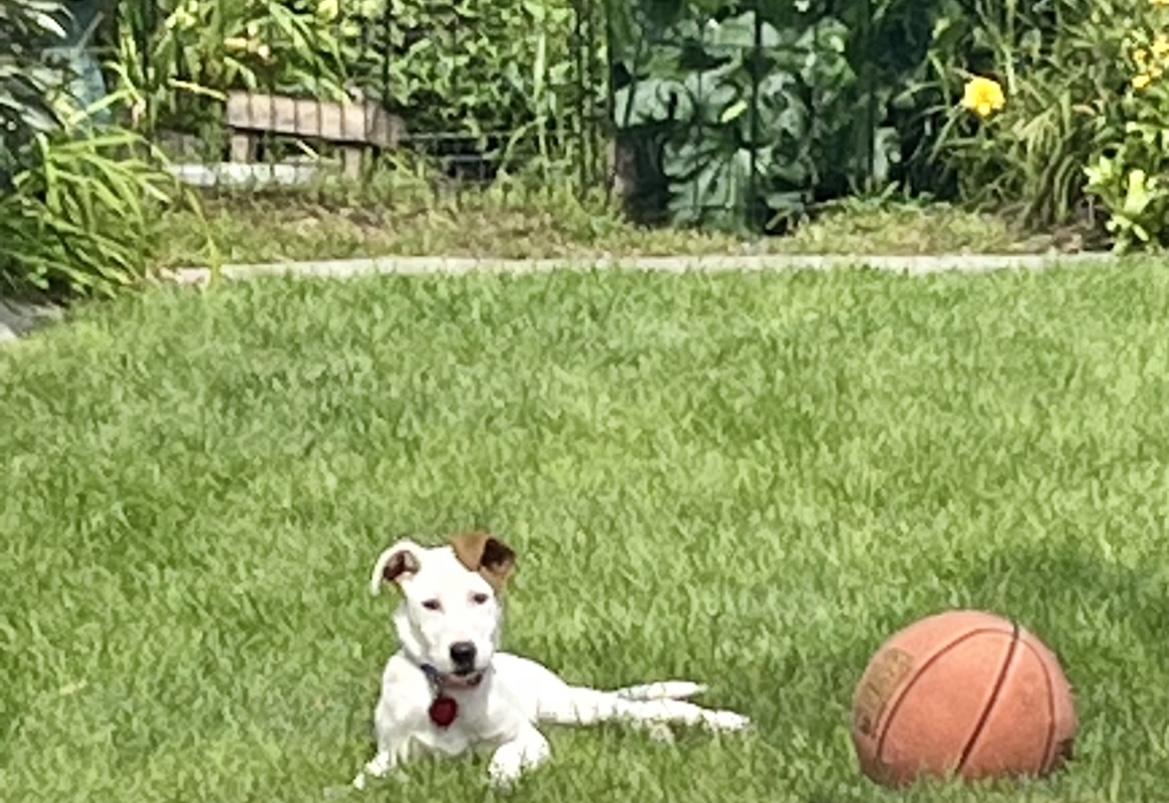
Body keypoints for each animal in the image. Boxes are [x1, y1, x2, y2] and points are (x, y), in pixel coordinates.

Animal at [350, 530, 752, 790]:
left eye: (480, 597)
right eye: (430, 604)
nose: (463, 651)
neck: (454, 694)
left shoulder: (529, 738)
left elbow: (505, 754)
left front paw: (501, 779)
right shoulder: (389, 755)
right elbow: (363, 780)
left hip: (569, 706)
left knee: (656, 707)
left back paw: (724, 721)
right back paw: (659, 735)